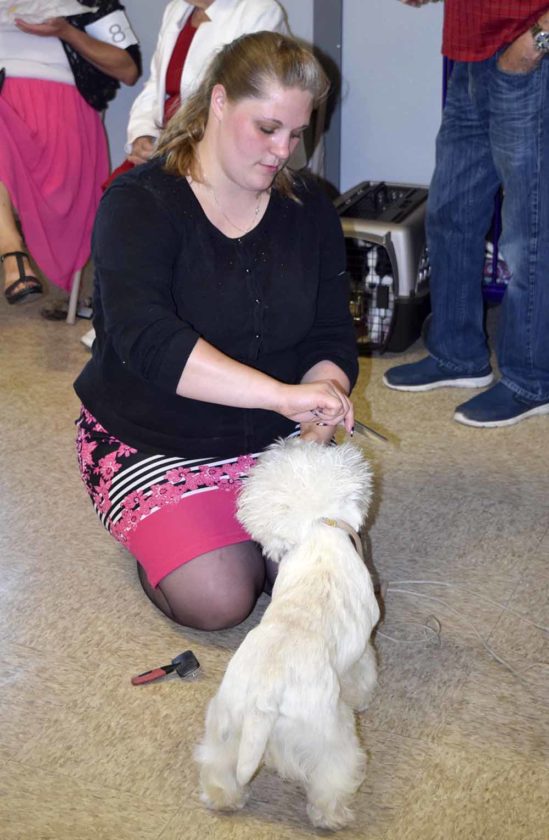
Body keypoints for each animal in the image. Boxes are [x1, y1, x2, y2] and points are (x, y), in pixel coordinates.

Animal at [195, 438, 380, 830]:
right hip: (328, 734)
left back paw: (224, 800)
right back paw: (333, 817)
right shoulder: (362, 650)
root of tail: (266, 699)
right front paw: (365, 698)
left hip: (225, 725)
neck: (320, 534)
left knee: (217, 767)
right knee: (332, 775)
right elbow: (363, 677)